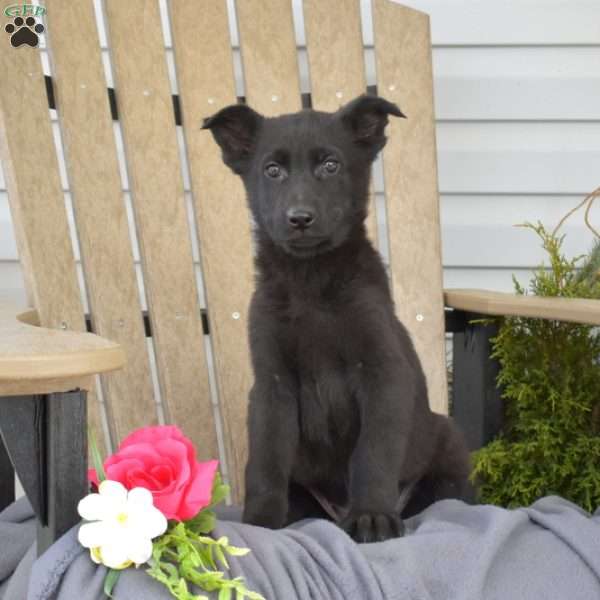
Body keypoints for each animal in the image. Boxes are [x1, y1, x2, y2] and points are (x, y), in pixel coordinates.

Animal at [204, 95, 472, 544]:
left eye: (330, 166)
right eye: (272, 171)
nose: (299, 218)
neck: (310, 281)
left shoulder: (382, 372)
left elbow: (373, 451)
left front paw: (371, 516)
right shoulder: (272, 384)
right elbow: (265, 460)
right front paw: (260, 521)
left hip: (448, 443)